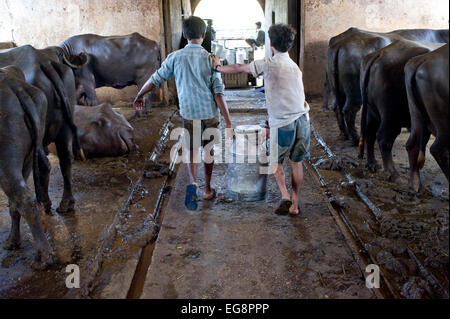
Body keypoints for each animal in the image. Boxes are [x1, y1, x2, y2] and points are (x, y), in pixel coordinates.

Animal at [0, 66, 55, 268]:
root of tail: (15, 85)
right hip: (25, 153)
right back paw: (12, 242)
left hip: (5, 154)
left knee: (23, 197)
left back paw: (43, 258)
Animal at [358, 40, 442, 182]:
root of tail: (380, 54)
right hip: (391, 115)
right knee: (383, 138)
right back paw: (392, 173)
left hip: (372, 111)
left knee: (370, 133)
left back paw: (372, 164)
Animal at [406, 43, 448, 194]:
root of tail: (422, 59)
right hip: (443, 124)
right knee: (438, 149)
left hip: (416, 115)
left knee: (412, 144)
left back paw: (416, 186)